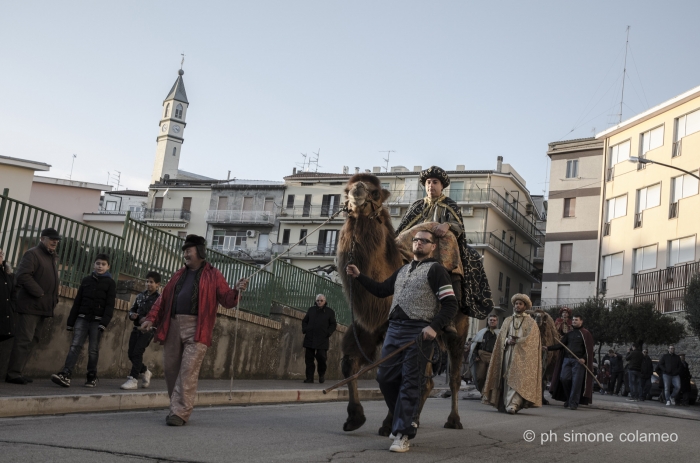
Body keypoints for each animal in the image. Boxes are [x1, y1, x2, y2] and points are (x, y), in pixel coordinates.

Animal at [336, 174, 468, 436]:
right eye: (346, 190)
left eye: (375, 192)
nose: (357, 191)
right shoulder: (366, 327)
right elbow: (349, 364)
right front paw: (355, 417)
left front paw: (388, 424)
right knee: (427, 381)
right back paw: (414, 418)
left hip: (458, 333)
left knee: (454, 377)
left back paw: (453, 420)